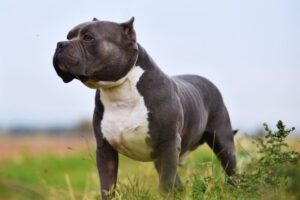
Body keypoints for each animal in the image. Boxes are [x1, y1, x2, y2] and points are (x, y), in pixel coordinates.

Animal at [53, 17, 237, 200]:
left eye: (88, 38)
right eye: (69, 37)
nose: (60, 44)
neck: (120, 92)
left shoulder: (168, 144)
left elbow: (165, 185)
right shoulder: (105, 150)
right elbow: (107, 186)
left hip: (223, 142)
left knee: (231, 171)